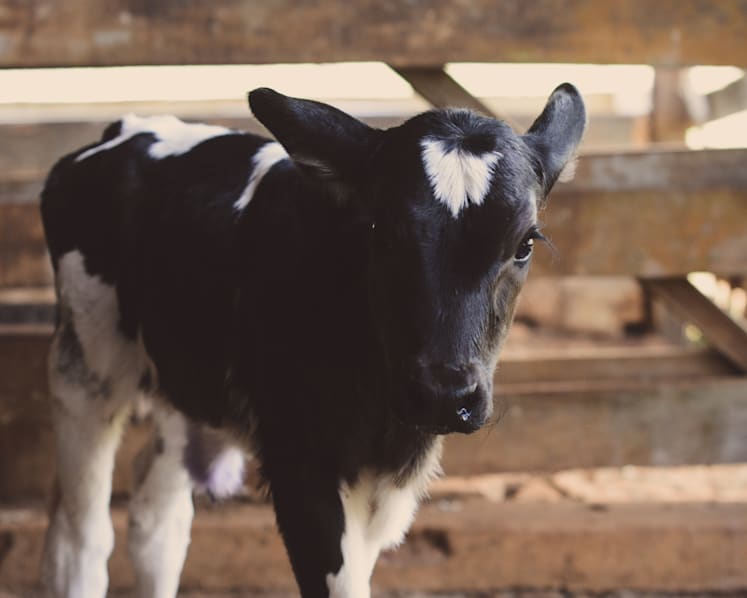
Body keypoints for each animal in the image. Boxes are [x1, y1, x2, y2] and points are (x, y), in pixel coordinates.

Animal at [39, 83, 585, 598]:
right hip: (84, 368)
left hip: (186, 382)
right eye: (381, 232)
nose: (443, 396)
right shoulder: (300, 464)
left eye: (525, 244)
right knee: (81, 538)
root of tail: (129, 127)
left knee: (158, 522)